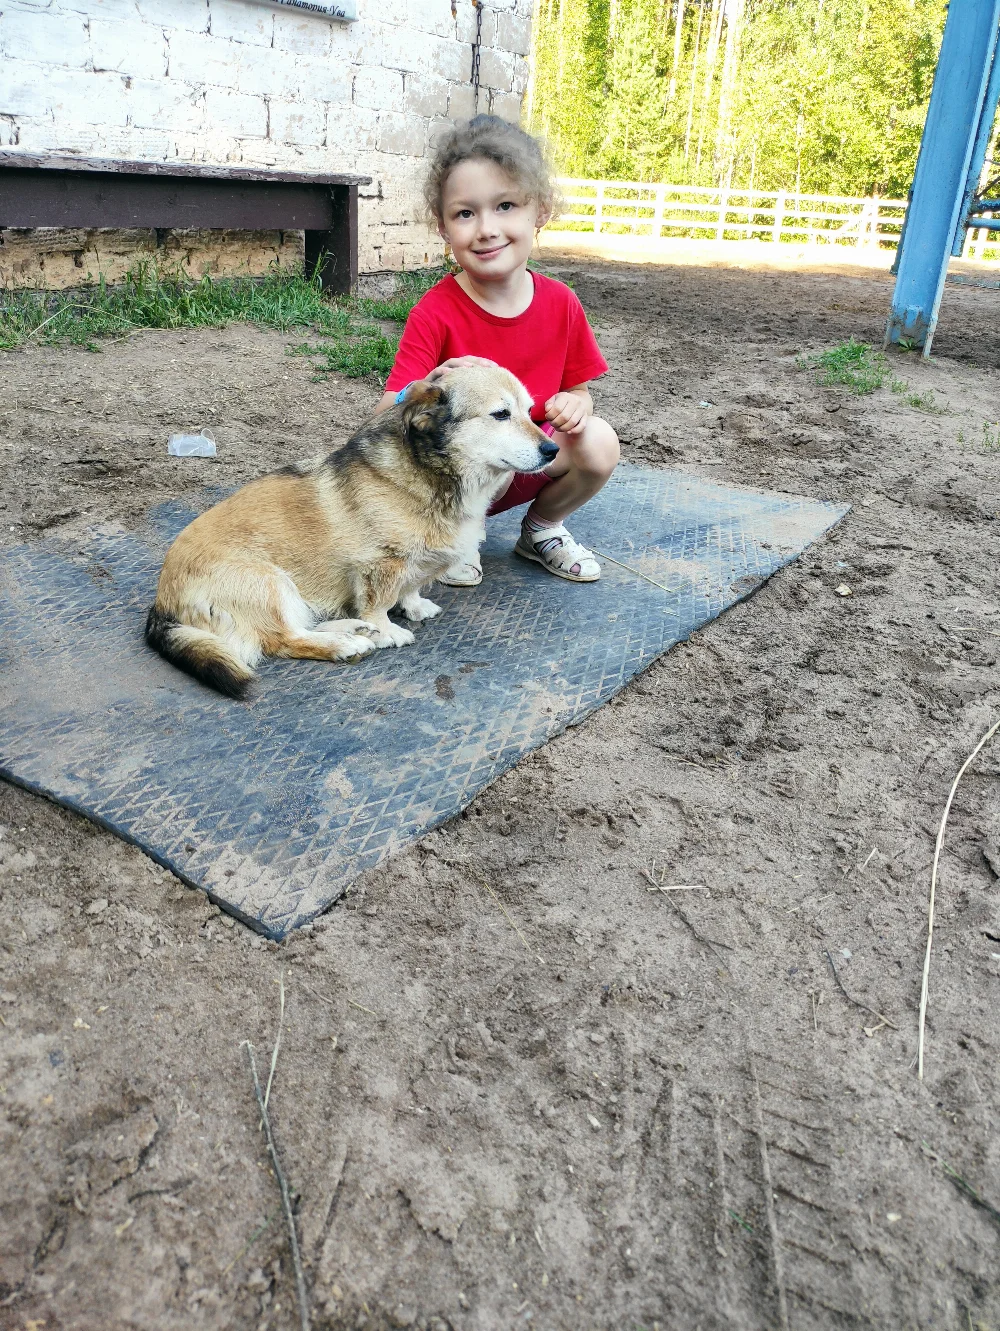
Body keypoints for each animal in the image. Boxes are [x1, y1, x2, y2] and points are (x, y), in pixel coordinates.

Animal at [145, 365, 557, 698]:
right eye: (500, 414)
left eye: (529, 412)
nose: (552, 449)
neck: (431, 477)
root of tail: (163, 605)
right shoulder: (380, 566)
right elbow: (380, 604)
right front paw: (388, 630)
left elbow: (409, 589)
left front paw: (412, 607)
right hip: (269, 581)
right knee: (284, 639)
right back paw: (345, 644)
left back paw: (351, 629)